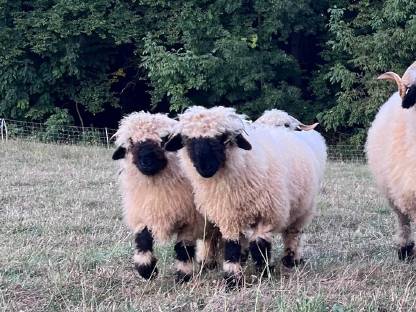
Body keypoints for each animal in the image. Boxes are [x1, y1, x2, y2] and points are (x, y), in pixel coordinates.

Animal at [112, 111, 219, 282]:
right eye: (131, 142)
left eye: (163, 140)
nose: (146, 162)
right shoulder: (143, 214)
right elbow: (142, 240)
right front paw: (146, 270)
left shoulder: (191, 220)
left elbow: (183, 248)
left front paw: (183, 275)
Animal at [164, 106, 326, 286]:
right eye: (187, 140)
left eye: (223, 137)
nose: (205, 169)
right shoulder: (228, 215)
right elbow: (232, 246)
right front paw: (232, 279)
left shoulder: (266, 213)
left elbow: (260, 245)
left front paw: (264, 271)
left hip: (303, 207)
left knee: (293, 233)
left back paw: (291, 260)